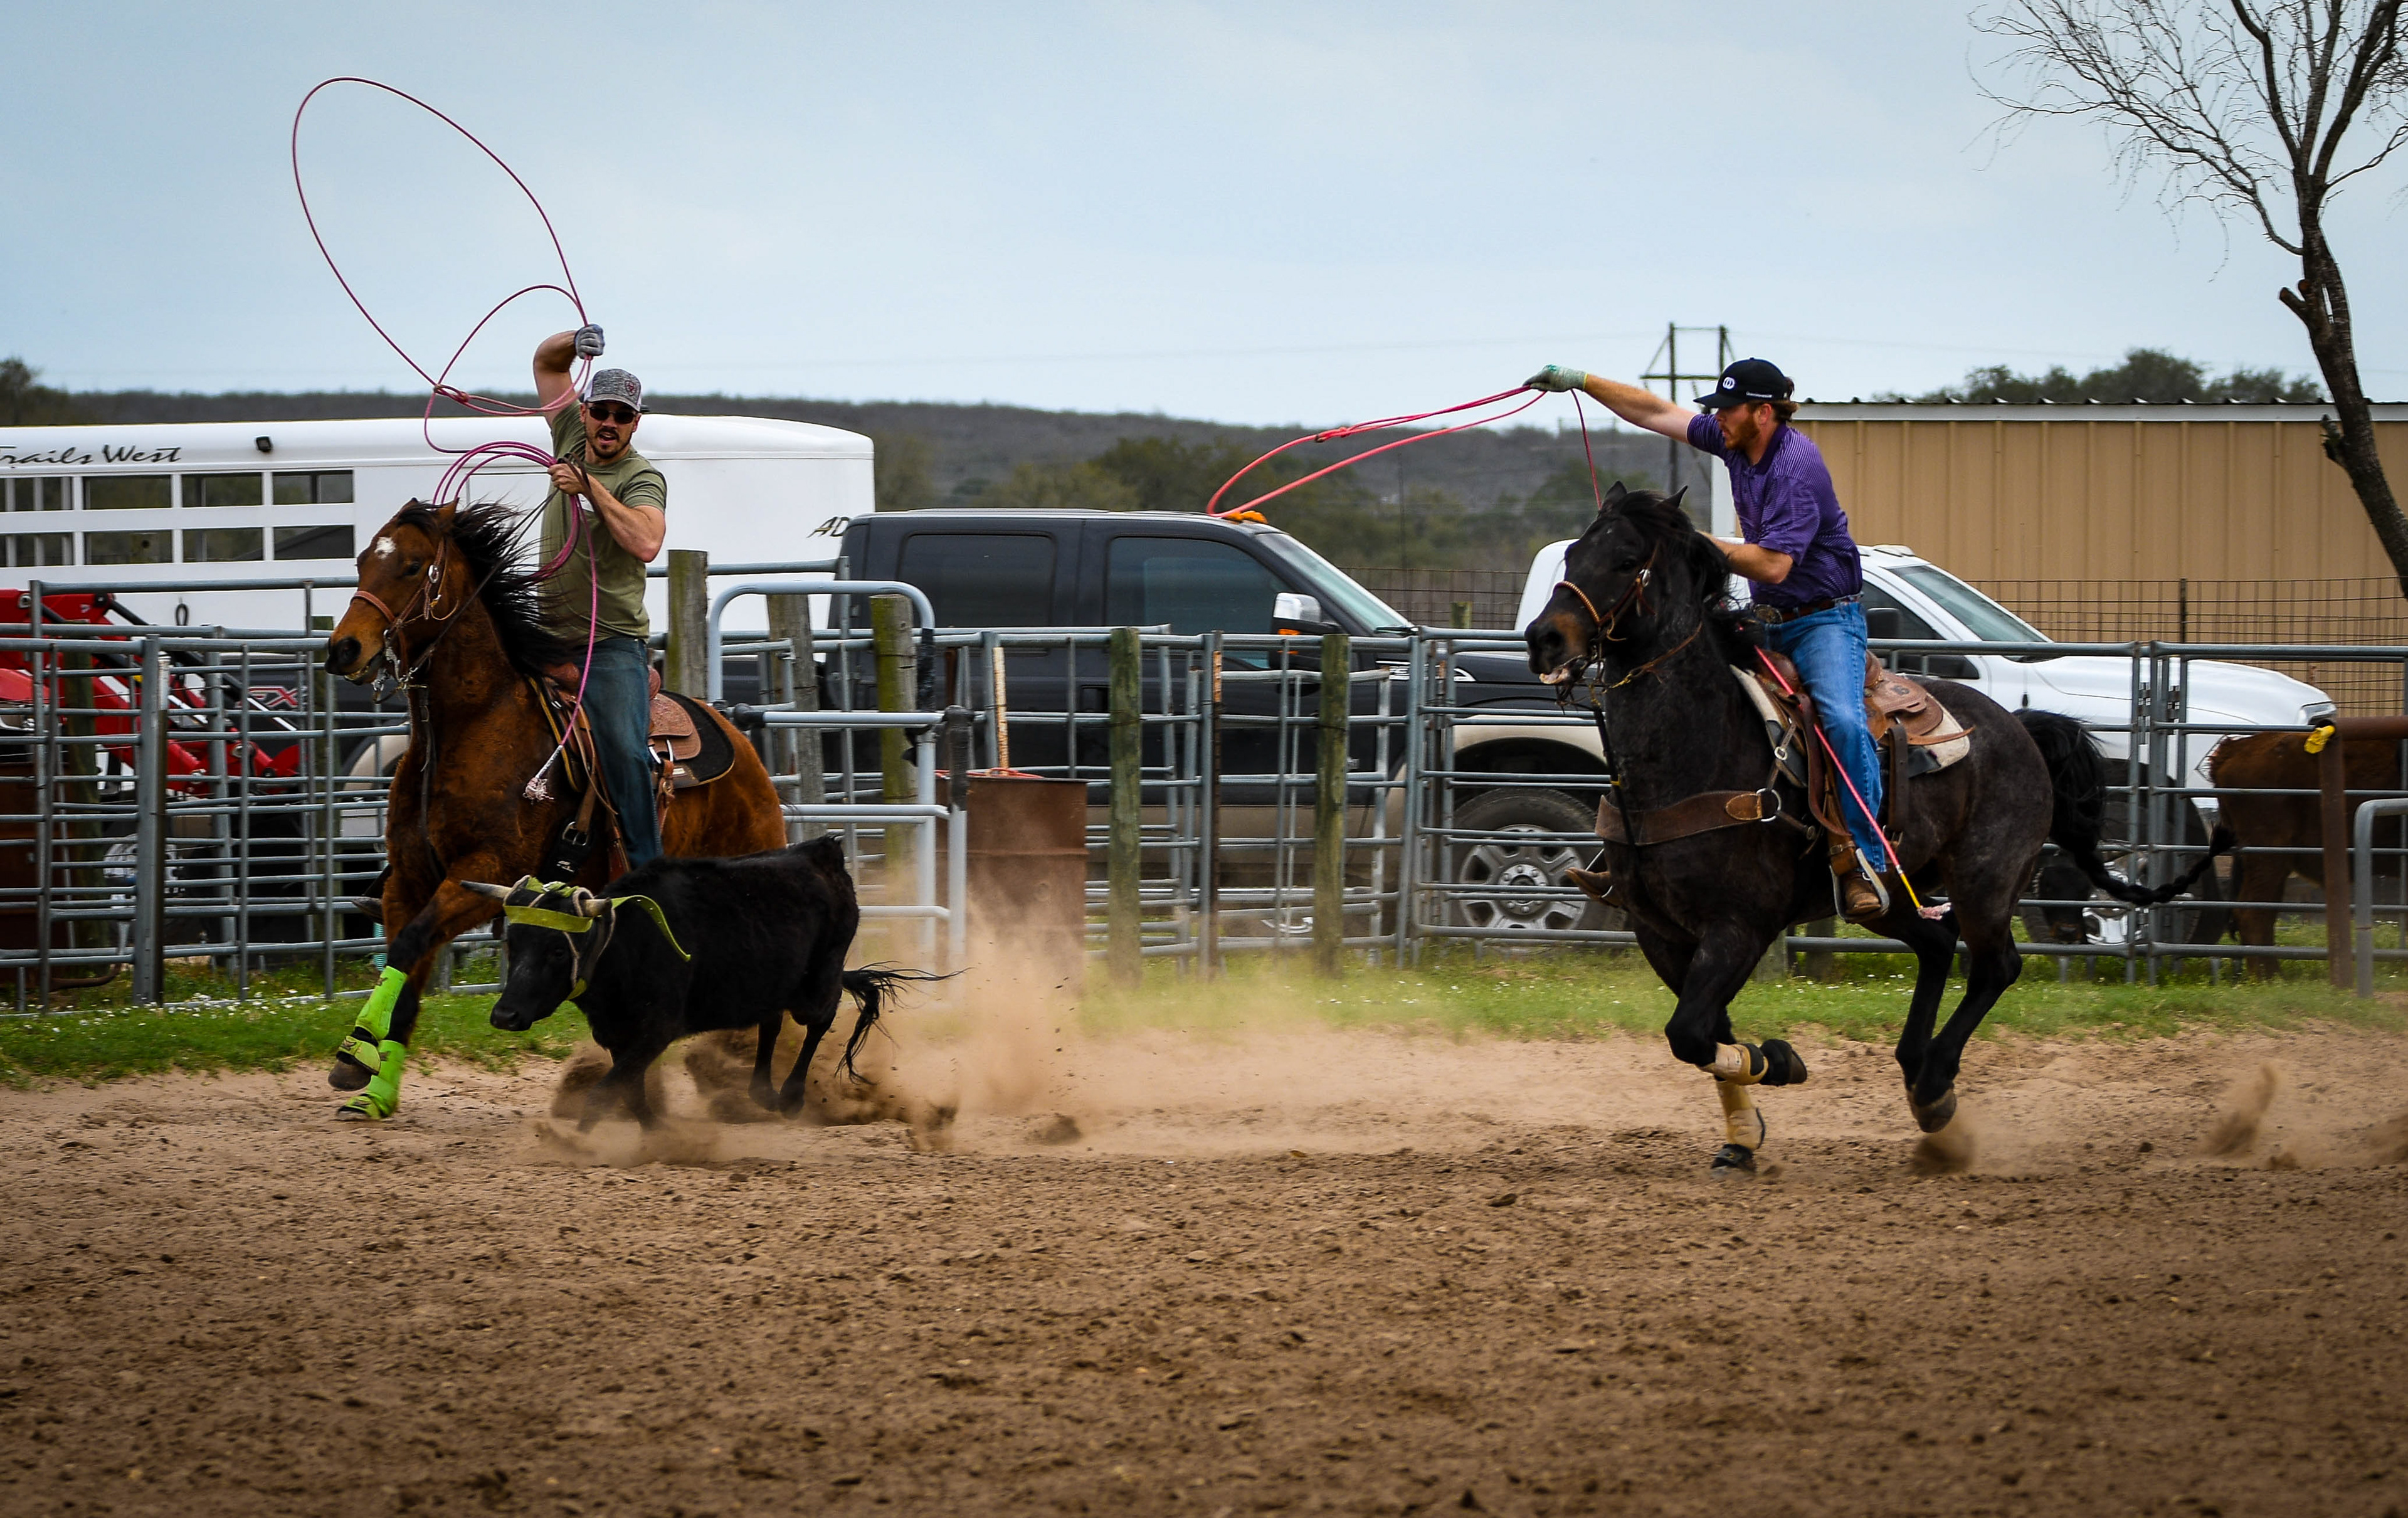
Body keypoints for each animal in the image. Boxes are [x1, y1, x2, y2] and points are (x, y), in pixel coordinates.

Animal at [319, 499, 788, 1120]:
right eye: (363, 559)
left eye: (414, 566)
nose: (343, 648)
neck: (471, 725)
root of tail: (738, 737)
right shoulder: (410, 881)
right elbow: (409, 969)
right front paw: (370, 1079)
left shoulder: (483, 873)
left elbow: (410, 944)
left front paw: (356, 1049)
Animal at [469, 837, 935, 1128]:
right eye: (512, 943)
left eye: (557, 950)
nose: (505, 1015)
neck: (625, 942)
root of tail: (823, 852)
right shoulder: (617, 1035)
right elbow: (628, 1092)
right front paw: (659, 1135)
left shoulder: (658, 1029)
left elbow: (604, 1092)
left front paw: (574, 1142)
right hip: (770, 984)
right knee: (771, 1023)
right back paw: (762, 1092)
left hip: (819, 979)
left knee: (819, 1020)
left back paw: (790, 1096)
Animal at [1524, 483, 2223, 1170]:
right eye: (1573, 555)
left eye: (1626, 560)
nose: (1543, 639)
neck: (1694, 752)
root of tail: (2022, 728)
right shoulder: (1660, 933)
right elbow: (1702, 1032)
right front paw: (1745, 1133)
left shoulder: (1739, 926)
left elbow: (1691, 1032)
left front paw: (1781, 1062)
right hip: (1890, 892)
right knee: (1938, 945)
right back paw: (1915, 1068)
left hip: (1986, 879)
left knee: (1996, 967)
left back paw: (1935, 1087)